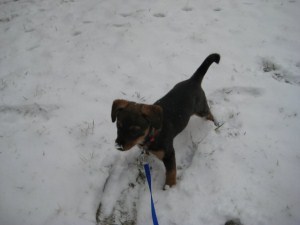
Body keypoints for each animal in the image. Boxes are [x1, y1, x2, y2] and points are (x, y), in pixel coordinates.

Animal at [111, 53, 219, 189]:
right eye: (118, 125)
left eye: (135, 130)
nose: (118, 146)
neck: (152, 134)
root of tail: (193, 80)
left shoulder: (169, 154)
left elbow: (171, 172)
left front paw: (169, 187)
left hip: (201, 109)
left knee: (210, 115)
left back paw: (215, 125)